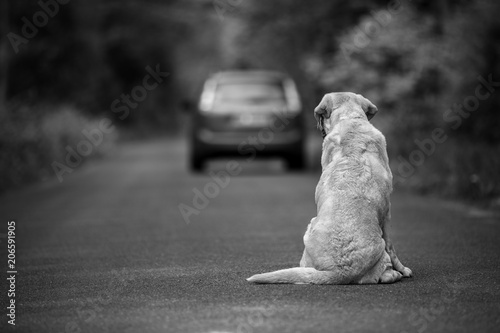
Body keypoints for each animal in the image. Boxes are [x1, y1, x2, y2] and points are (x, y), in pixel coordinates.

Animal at [247, 92, 414, 282]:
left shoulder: (387, 212)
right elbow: (391, 247)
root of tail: (340, 272)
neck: (350, 119)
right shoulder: (387, 212)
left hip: (310, 227)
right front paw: (403, 270)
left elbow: (391, 248)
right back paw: (394, 273)